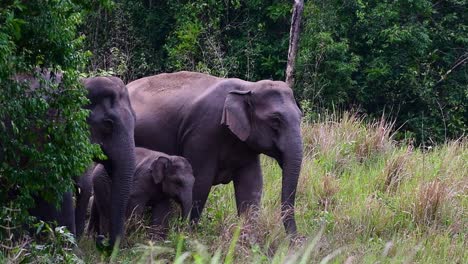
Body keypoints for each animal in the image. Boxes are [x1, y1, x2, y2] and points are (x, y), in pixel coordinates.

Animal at [128, 70, 304, 235]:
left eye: (301, 116)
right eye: (275, 120)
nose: (294, 242)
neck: (247, 87)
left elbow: (251, 184)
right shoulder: (202, 133)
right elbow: (201, 182)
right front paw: (188, 236)